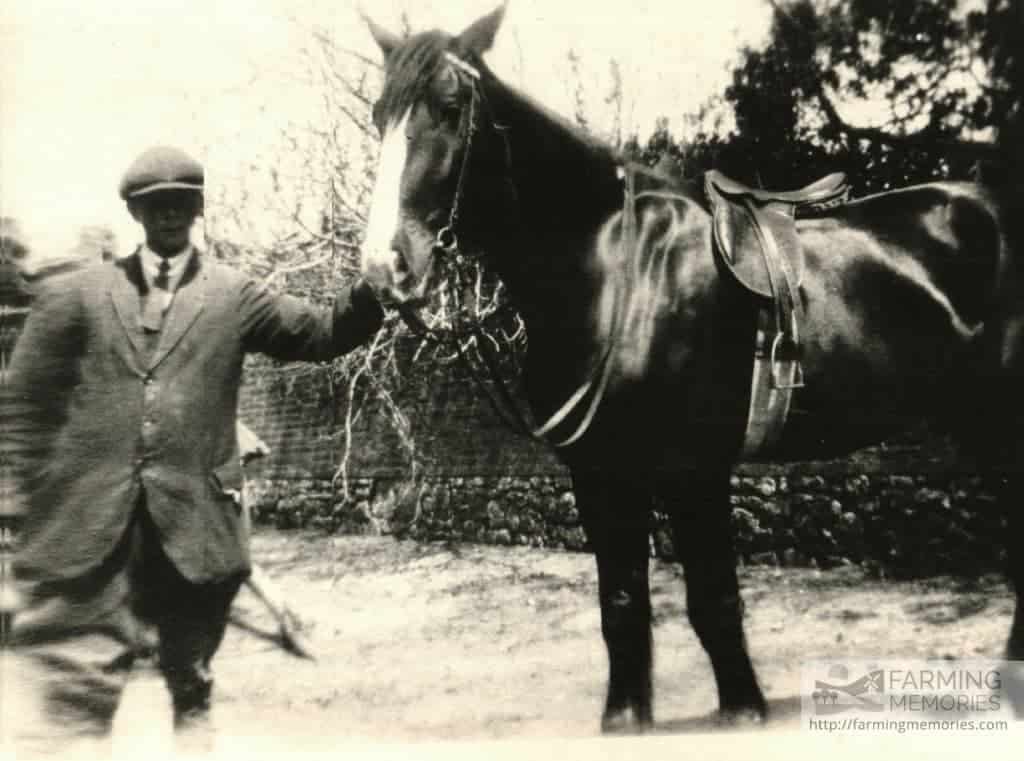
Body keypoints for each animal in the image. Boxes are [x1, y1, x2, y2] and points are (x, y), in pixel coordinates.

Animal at [358, 4, 1024, 733]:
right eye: (379, 115)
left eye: (450, 107)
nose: (384, 267)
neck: (620, 272)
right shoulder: (600, 471)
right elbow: (622, 603)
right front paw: (626, 717)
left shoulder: (692, 467)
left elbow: (712, 598)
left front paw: (743, 709)